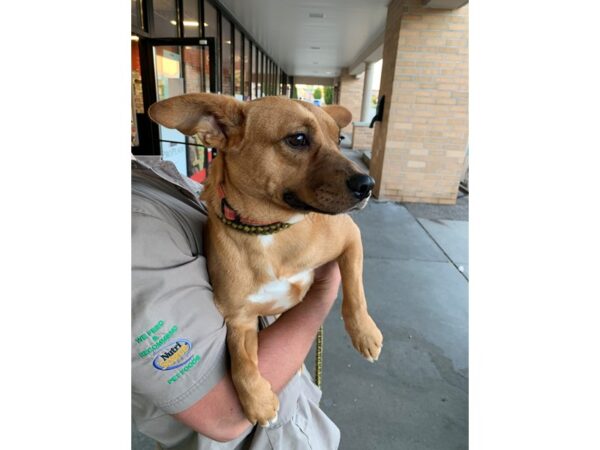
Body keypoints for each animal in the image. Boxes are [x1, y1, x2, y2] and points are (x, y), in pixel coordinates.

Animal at [150, 94, 384, 426]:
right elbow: (241, 362)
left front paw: (364, 332)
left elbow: (354, 289)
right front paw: (257, 400)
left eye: (338, 139)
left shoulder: (350, 237)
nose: (368, 184)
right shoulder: (239, 319)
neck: (269, 230)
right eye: (298, 139)